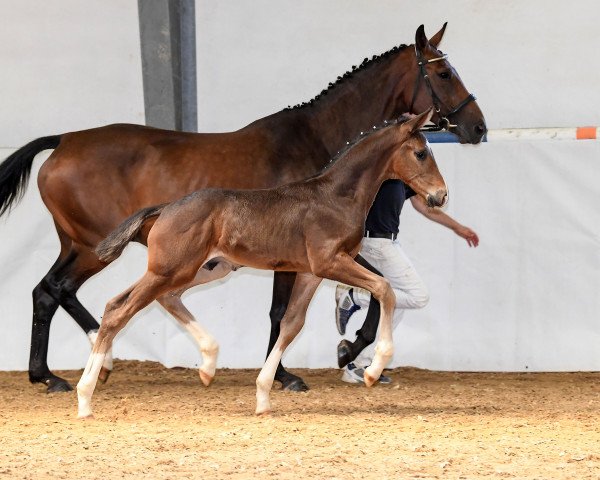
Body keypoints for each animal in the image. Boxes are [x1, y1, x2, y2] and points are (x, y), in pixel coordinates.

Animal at [76, 110, 446, 418]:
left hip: (203, 269)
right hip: (169, 270)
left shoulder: (310, 272)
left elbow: (291, 323)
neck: (336, 196)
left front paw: (263, 396)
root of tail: (166, 207)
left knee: (149, 300)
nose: (440, 196)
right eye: (421, 153)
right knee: (119, 311)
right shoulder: (329, 262)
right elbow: (385, 288)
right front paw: (373, 370)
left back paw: (208, 364)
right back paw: (84, 398)